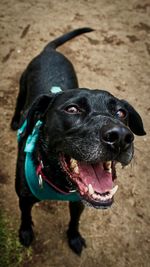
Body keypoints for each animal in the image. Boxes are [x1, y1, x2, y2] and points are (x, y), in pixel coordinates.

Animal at [11, 27, 146, 255]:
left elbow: (75, 221)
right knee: (19, 102)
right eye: (72, 109)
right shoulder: (24, 198)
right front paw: (25, 232)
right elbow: (25, 216)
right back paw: (14, 120)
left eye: (121, 113)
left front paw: (74, 237)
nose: (121, 137)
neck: (59, 182)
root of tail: (50, 51)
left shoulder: (78, 203)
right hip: (22, 85)